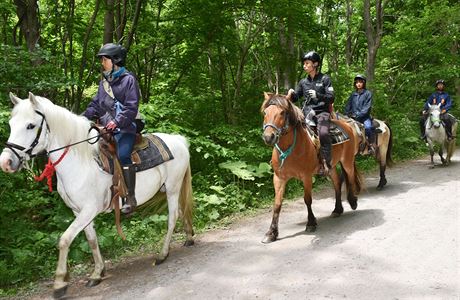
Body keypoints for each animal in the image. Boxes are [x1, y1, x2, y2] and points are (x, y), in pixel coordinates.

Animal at [0, 92, 194, 298]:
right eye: (11, 124)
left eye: (30, 125)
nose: (6, 162)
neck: (80, 160)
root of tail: (178, 140)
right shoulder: (79, 212)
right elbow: (92, 240)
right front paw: (97, 273)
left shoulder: (89, 210)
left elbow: (64, 240)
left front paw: (60, 283)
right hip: (171, 189)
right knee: (181, 210)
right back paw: (189, 238)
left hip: (172, 188)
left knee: (172, 217)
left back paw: (163, 255)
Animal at [260, 92, 362, 243]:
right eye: (265, 112)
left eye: (282, 112)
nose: (268, 137)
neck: (291, 148)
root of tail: (347, 125)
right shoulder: (278, 178)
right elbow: (277, 204)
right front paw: (271, 232)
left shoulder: (306, 177)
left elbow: (307, 199)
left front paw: (311, 223)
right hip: (331, 167)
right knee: (337, 183)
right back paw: (337, 209)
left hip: (347, 161)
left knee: (350, 177)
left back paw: (353, 201)